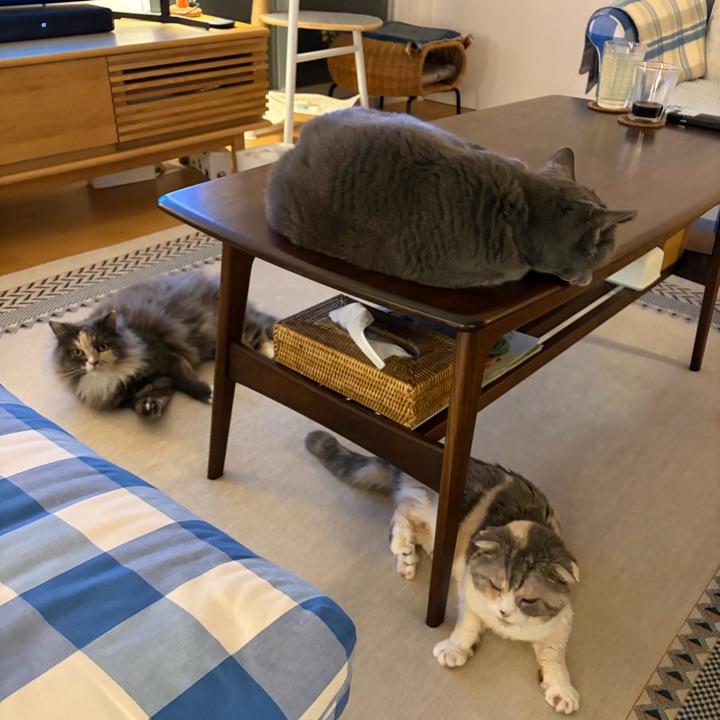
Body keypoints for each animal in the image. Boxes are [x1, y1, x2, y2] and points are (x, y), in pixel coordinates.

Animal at [50, 271, 275, 419]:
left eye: (102, 347)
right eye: (77, 352)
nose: (93, 362)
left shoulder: (166, 358)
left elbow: (187, 380)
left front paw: (209, 394)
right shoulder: (149, 385)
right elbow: (150, 400)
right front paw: (149, 408)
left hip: (233, 331)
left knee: (261, 329)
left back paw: (271, 352)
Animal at [305, 429, 581, 715]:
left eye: (529, 600)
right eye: (495, 585)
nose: (504, 612)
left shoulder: (561, 624)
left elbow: (555, 658)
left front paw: (562, 690)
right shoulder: (470, 594)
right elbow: (467, 625)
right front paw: (455, 649)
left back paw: (415, 559)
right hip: (436, 512)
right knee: (401, 514)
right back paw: (405, 552)